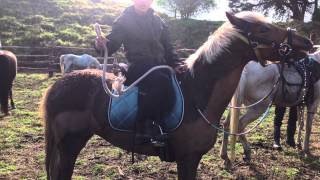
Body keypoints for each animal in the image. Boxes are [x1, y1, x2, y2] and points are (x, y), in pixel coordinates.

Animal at [40, 11, 312, 179]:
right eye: (264, 28)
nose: (307, 42)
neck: (197, 93)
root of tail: (58, 86)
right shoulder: (187, 158)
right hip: (70, 144)